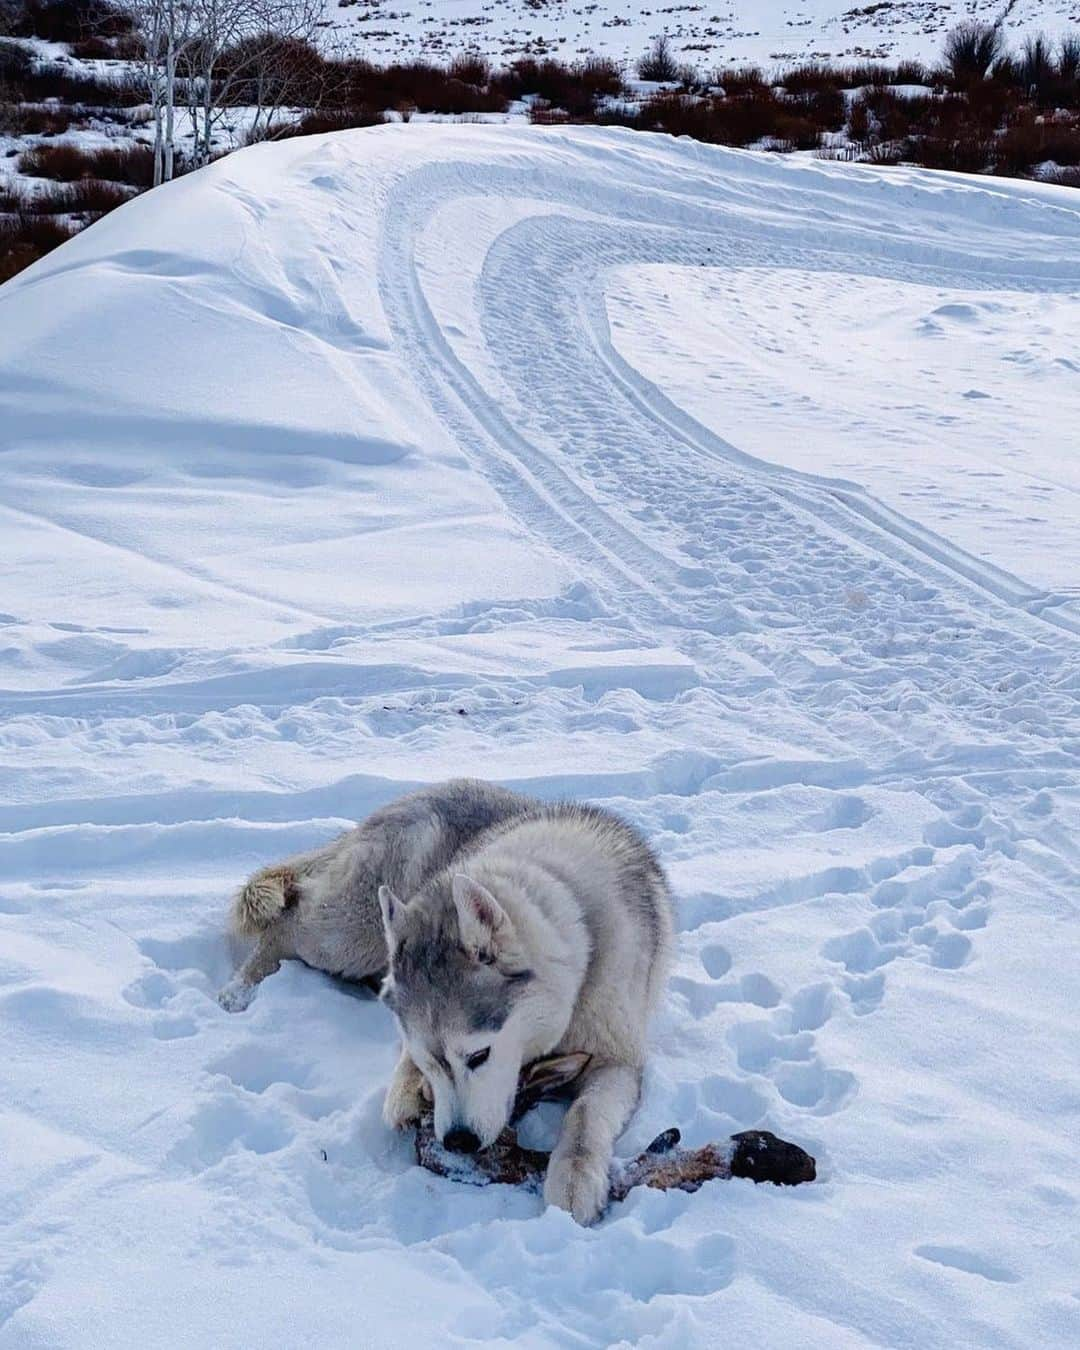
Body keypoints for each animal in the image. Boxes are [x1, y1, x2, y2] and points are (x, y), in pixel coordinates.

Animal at [222, 777, 669, 1231]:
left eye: (480, 1055)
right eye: (429, 1060)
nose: (458, 1141)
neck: (566, 900)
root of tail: (430, 789)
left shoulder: (618, 1060)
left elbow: (585, 1115)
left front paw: (575, 1177)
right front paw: (408, 1087)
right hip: (354, 934)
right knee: (290, 920)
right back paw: (240, 987)